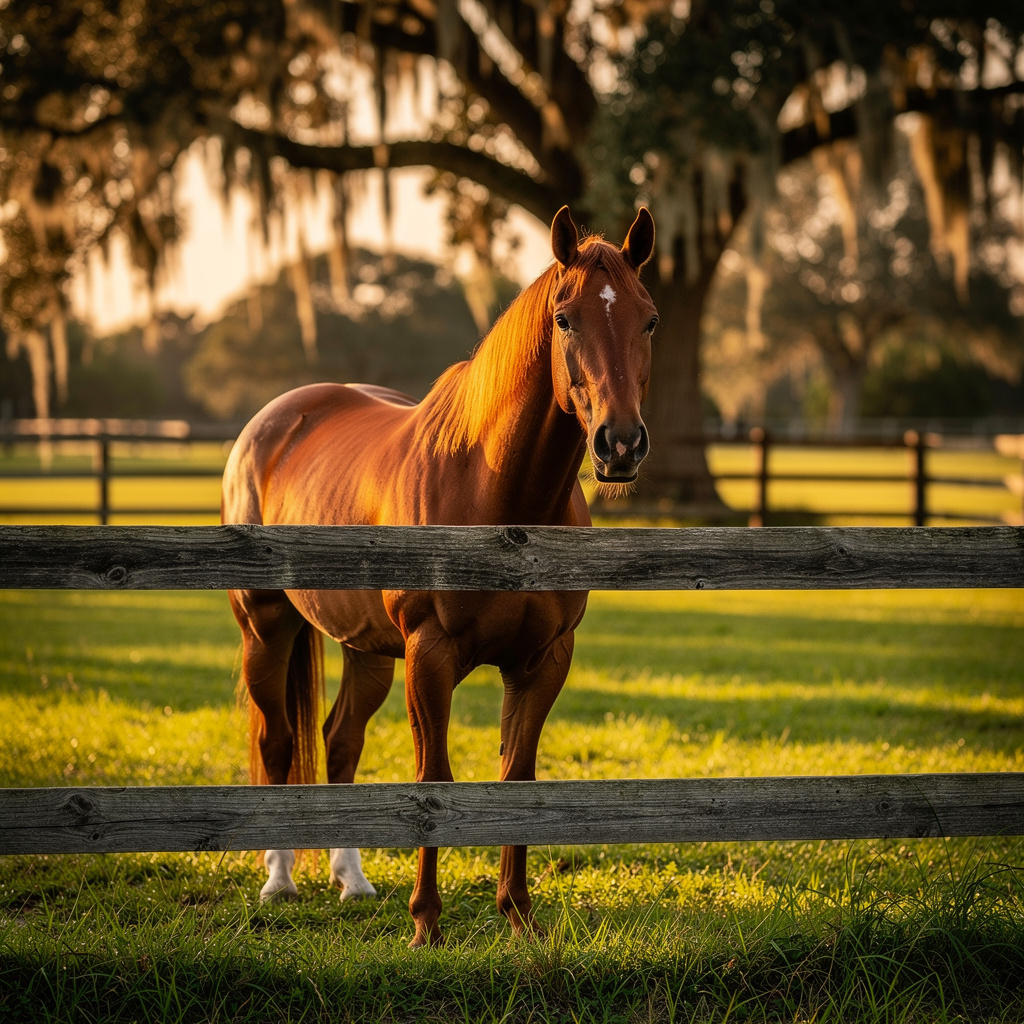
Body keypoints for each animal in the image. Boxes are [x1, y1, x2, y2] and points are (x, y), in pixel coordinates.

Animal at [221, 206, 658, 947]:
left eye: (650, 319)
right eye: (565, 318)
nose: (620, 444)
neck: (496, 495)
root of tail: (272, 421)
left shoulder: (544, 660)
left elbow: (517, 775)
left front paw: (518, 913)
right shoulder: (430, 655)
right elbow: (435, 778)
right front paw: (426, 921)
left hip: (365, 648)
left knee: (340, 741)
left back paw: (352, 879)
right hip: (267, 626)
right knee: (277, 742)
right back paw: (279, 880)